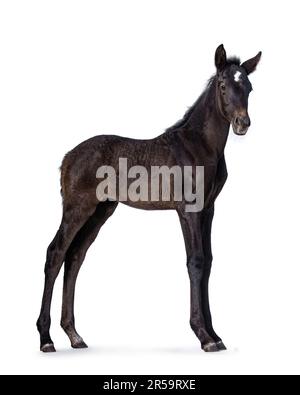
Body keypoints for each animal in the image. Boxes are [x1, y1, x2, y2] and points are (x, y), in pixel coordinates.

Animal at [37, 45, 260, 352]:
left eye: (249, 87)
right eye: (224, 85)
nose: (242, 123)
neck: (198, 145)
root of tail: (67, 158)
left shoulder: (208, 209)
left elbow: (209, 262)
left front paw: (216, 335)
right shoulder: (188, 210)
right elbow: (196, 261)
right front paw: (203, 336)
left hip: (100, 212)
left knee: (75, 257)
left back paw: (74, 335)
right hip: (77, 209)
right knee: (55, 254)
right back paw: (46, 339)